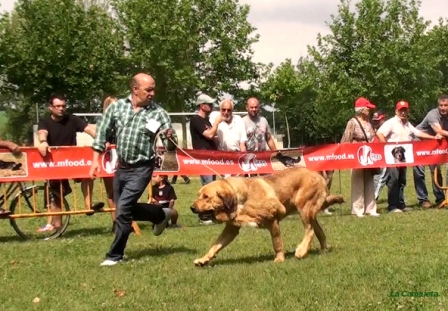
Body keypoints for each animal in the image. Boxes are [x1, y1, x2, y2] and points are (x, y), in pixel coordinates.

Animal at [189, 167, 344, 266]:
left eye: (206, 197)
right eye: (198, 195)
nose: (192, 208)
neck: (239, 199)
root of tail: (319, 176)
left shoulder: (273, 220)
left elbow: (277, 243)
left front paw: (279, 259)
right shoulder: (231, 229)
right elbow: (216, 245)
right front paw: (203, 260)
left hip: (304, 208)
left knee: (310, 230)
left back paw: (301, 251)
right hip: (310, 213)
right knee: (319, 231)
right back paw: (322, 250)